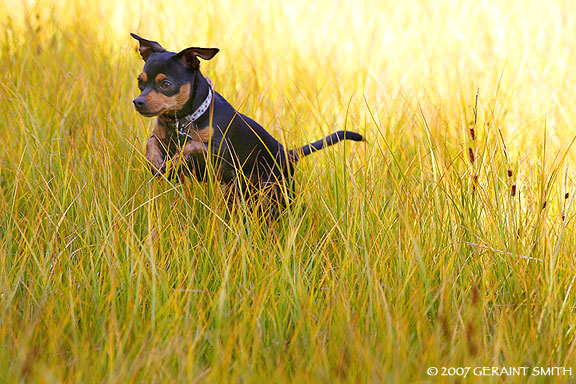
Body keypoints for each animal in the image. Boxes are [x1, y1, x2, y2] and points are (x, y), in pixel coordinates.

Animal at [133, 32, 362, 213]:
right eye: (139, 82)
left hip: (278, 193)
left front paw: (173, 163)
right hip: (241, 191)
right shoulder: (160, 137)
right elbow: (150, 144)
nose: (138, 102)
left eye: (166, 84)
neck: (184, 120)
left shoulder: (219, 149)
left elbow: (190, 145)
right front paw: (156, 165)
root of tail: (288, 153)